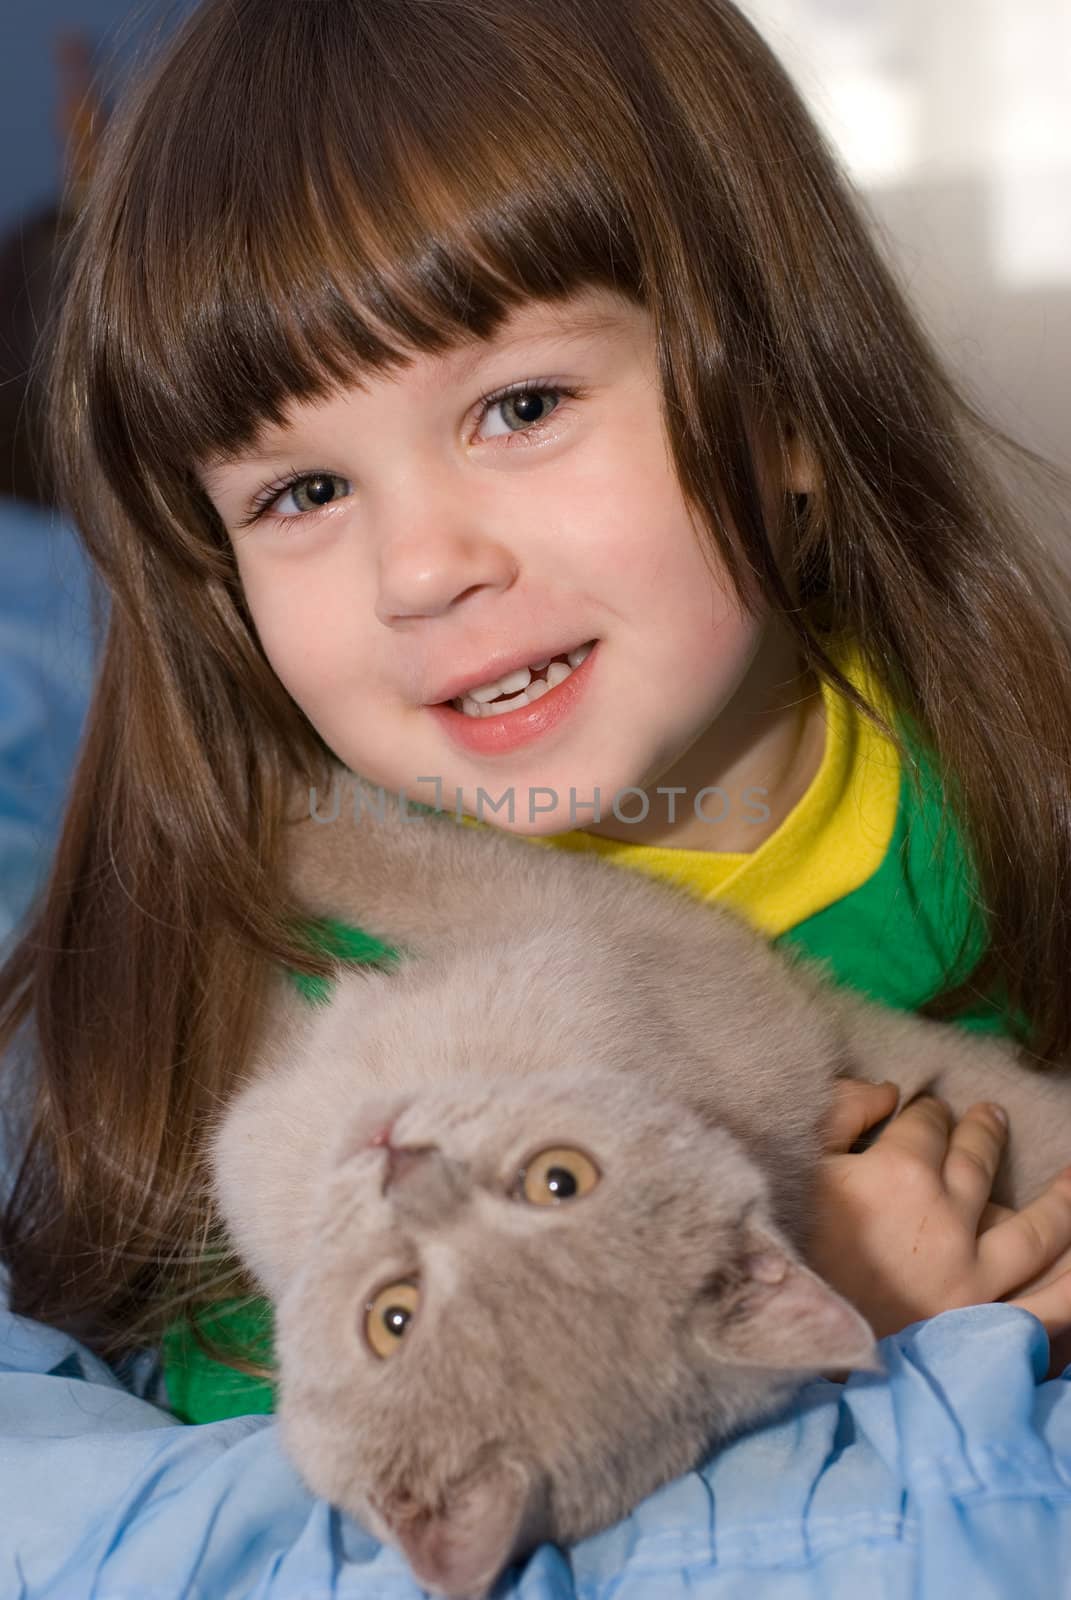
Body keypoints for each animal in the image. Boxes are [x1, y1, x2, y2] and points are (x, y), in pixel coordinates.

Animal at [206, 761, 1069, 1600]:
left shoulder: (595, 913)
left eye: (392, 1317)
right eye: (559, 1180)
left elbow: (406, 865)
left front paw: (273, 795)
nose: (401, 1161)